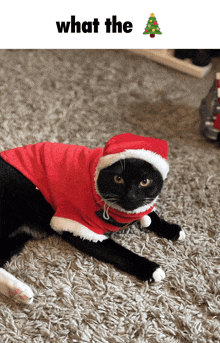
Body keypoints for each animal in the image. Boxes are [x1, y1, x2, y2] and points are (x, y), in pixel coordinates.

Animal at [0, 135, 186, 306]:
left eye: (145, 182)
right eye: (118, 179)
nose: (131, 196)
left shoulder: (138, 208)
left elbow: (151, 215)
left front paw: (172, 229)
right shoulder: (78, 226)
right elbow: (117, 252)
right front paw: (151, 268)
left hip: (17, 237)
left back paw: (17, 291)